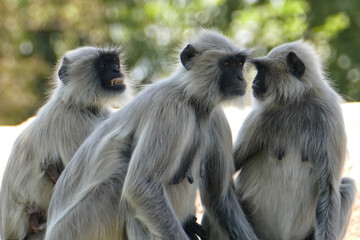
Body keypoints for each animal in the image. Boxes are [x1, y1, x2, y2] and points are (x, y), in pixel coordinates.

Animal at [45, 29, 258, 240]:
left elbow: (219, 199)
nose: (241, 78)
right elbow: (141, 186)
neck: (191, 99)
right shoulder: (171, 109)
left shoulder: (215, 118)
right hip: (77, 226)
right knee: (121, 178)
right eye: (227, 64)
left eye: (239, 63)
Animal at [232, 41, 356, 240]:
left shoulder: (330, 116)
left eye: (262, 71)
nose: (254, 81)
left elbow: (328, 190)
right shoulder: (259, 117)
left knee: (347, 186)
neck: (297, 102)